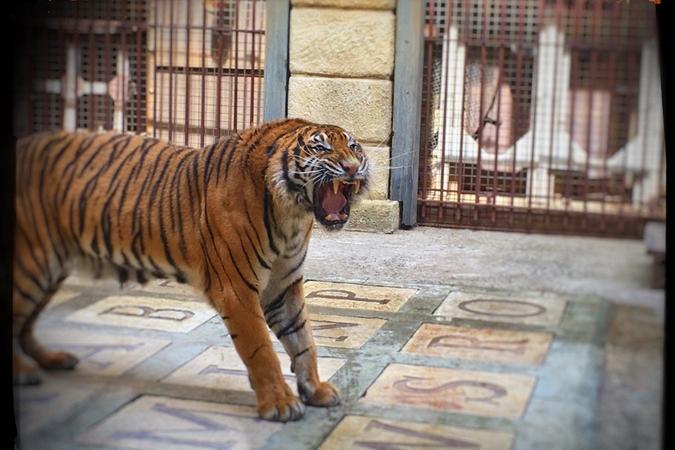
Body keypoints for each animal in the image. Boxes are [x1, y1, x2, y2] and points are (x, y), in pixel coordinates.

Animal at [11, 118, 370, 422]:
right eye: (321, 148)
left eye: (354, 147)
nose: (352, 167)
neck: (292, 214)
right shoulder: (237, 289)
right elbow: (262, 350)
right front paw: (280, 404)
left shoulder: (283, 286)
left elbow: (304, 340)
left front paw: (315, 390)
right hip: (32, 265)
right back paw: (25, 372)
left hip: (50, 270)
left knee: (25, 325)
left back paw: (52, 360)